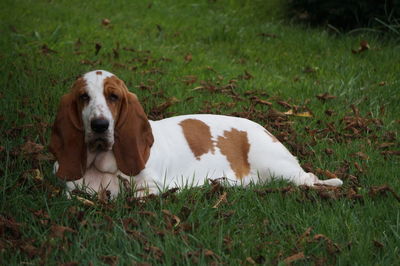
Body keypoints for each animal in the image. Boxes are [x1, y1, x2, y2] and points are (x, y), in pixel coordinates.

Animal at [49, 70, 344, 197]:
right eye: (84, 97)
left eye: (113, 97)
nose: (99, 125)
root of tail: (265, 129)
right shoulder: (73, 190)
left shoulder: (151, 188)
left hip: (277, 166)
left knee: (310, 179)